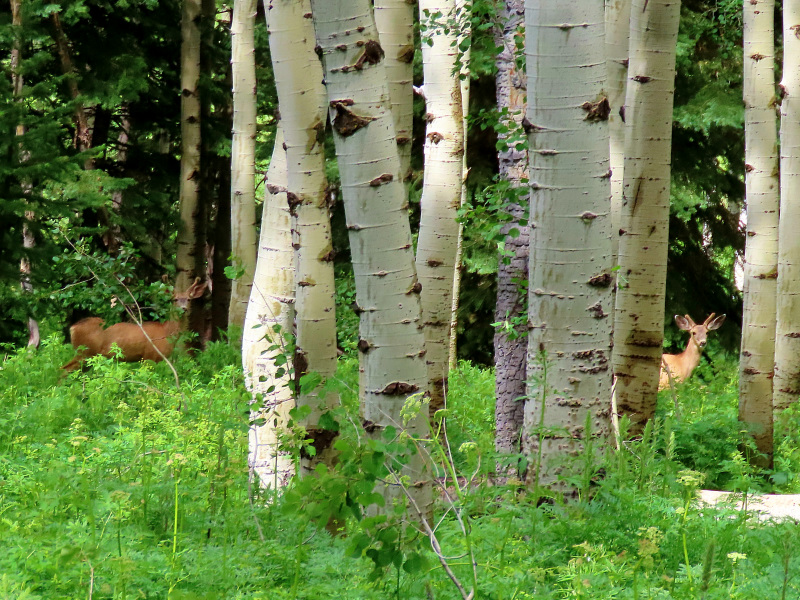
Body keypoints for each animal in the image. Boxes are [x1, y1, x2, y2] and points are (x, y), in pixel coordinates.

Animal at [61, 278, 208, 372]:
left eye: (188, 299)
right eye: (175, 299)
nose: (184, 309)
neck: (166, 332)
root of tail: (73, 328)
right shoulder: (150, 355)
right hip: (86, 351)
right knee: (64, 369)